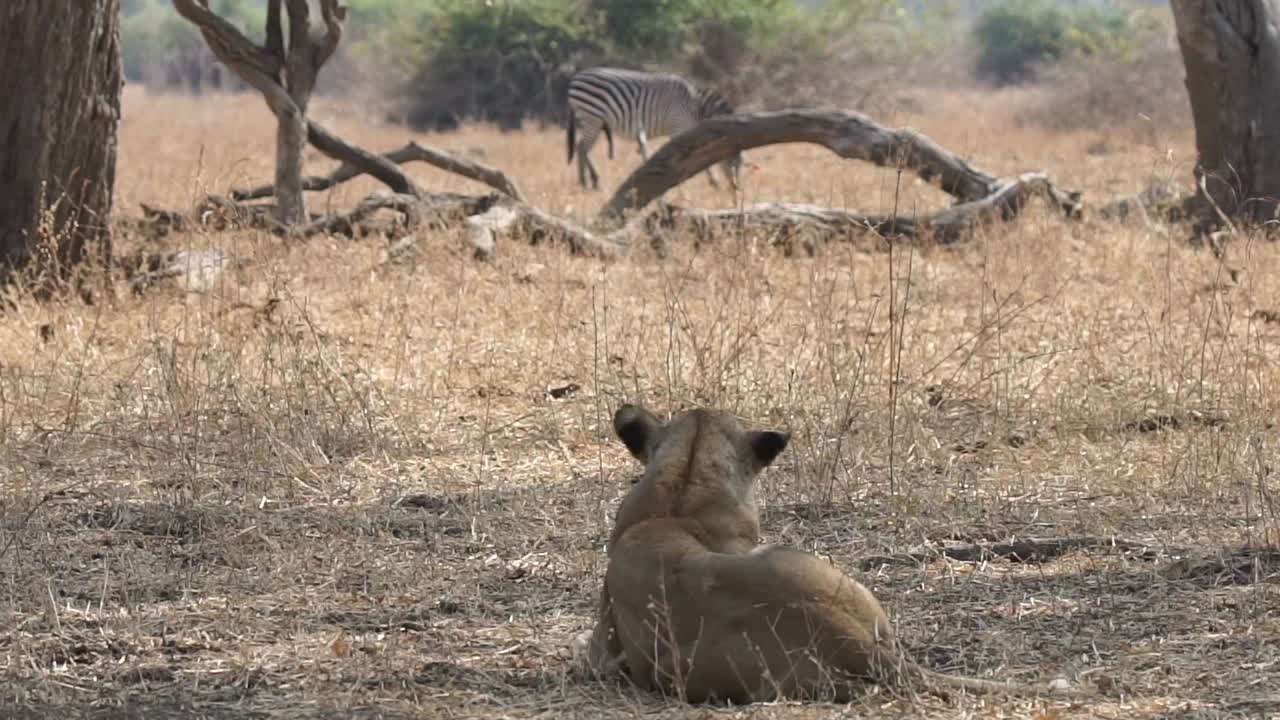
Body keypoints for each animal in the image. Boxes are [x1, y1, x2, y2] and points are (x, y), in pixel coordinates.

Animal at [565, 66, 747, 190]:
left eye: (740, 164)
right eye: (732, 161)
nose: (736, 188)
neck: (696, 107)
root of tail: (576, 77)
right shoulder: (679, 126)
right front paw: (712, 181)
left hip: (592, 120)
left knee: (581, 148)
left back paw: (588, 181)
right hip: (592, 117)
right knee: (582, 148)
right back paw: (589, 182)